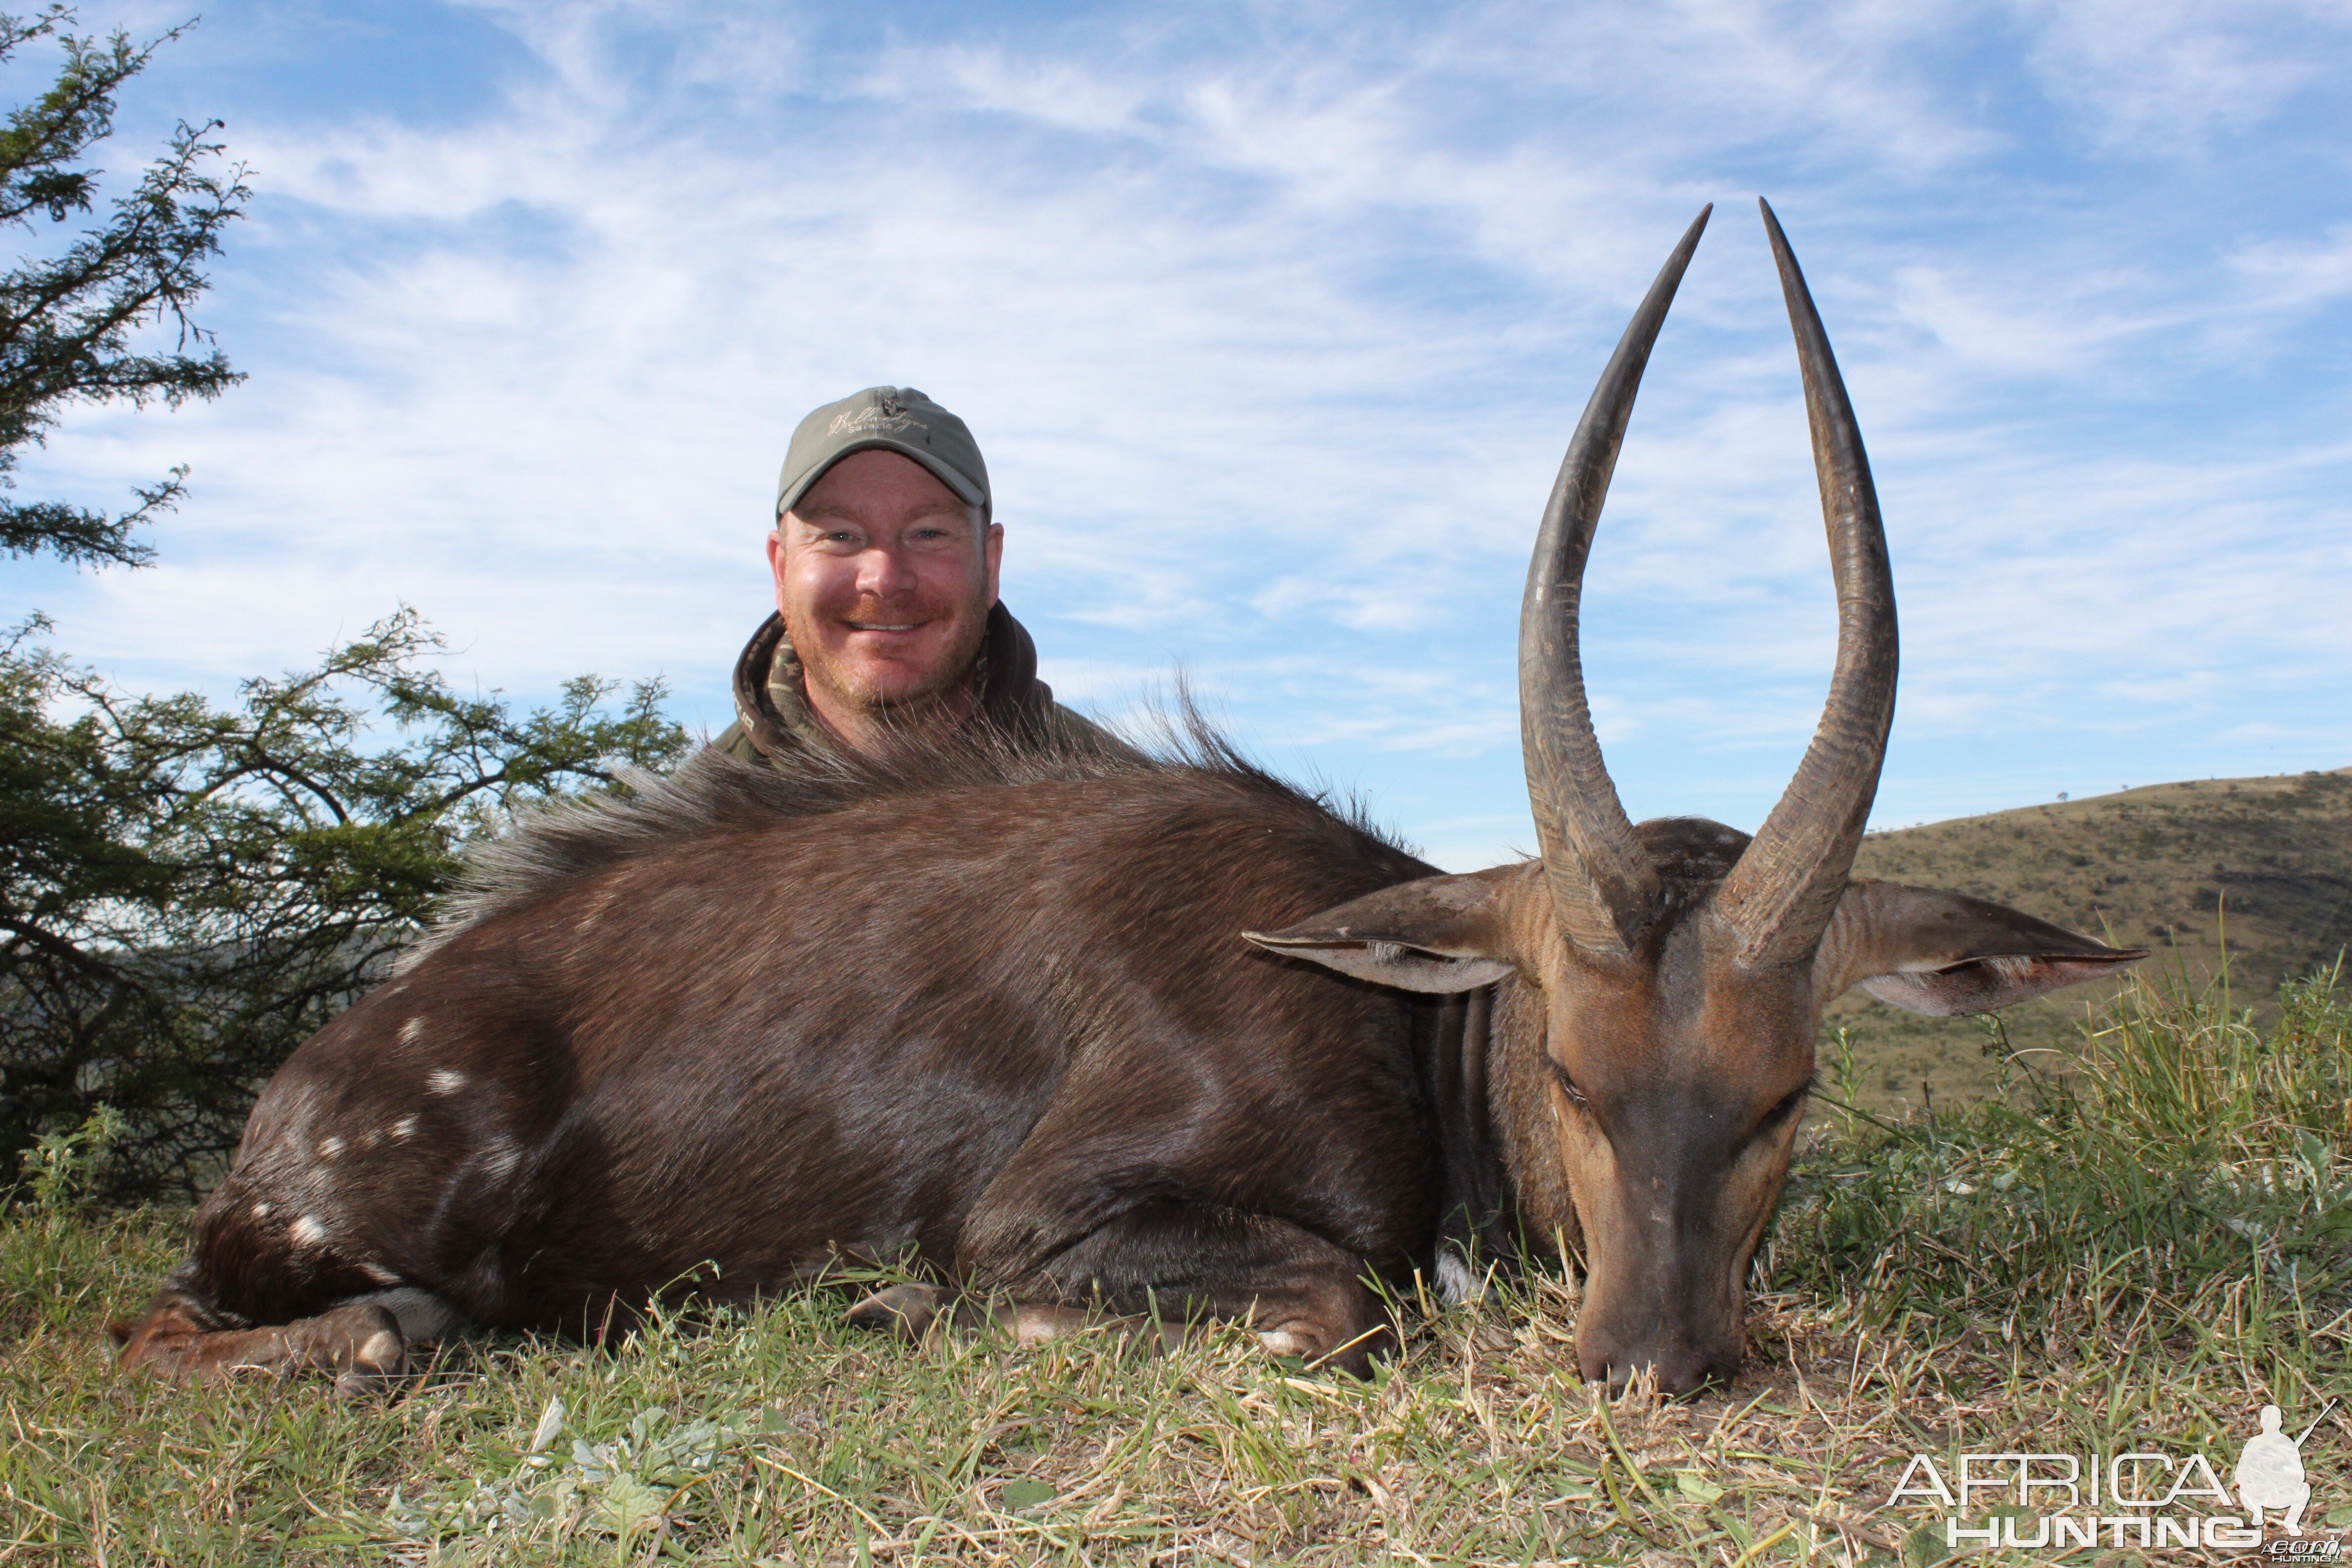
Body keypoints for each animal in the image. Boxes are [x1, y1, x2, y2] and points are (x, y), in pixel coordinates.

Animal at [119, 199, 2145, 1401]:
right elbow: (1337, 1300)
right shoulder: (1049, 1223)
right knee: (231, 1325)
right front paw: (893, 1306)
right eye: (1575, 1075)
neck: (1404, 1038)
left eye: (1785, 1092)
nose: (1649, 1363)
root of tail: (297, 1094)